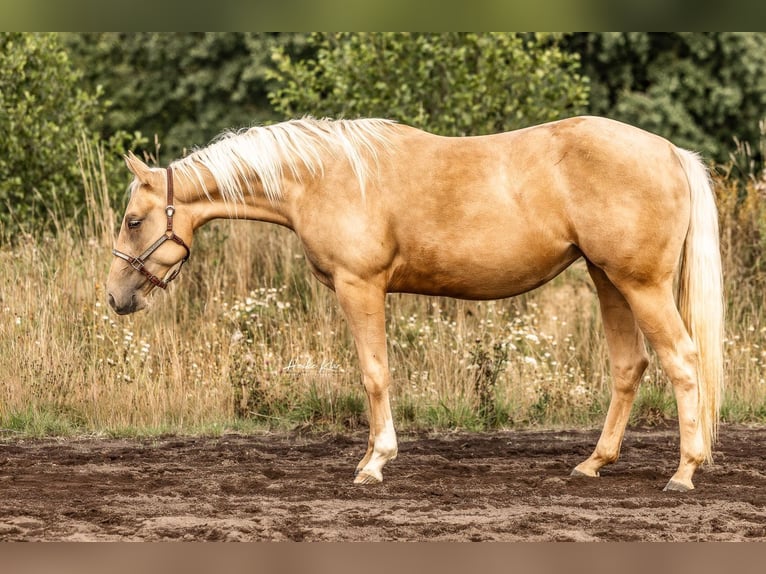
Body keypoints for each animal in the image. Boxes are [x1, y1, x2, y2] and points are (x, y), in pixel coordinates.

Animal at [106, 116, 724, 491]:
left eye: (133, 221)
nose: (115, 296)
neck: (323, 178)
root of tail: (671, 152)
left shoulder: (361, 287)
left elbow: (374, 373)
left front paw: (375, 462)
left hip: (640, 285)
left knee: (682, 361)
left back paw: (684, 471)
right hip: (607, 278)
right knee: (629, 366)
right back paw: (594, 464)